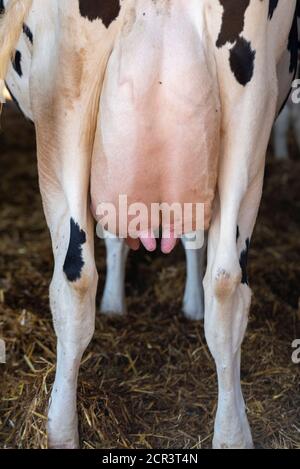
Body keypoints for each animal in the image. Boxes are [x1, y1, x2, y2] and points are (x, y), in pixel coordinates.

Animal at [0, 0, 298, 448]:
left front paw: (118, 302)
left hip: (64, 105)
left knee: (73, 280)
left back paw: (60, 431)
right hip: (250, 109)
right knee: (226, 283)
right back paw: (232, 435)